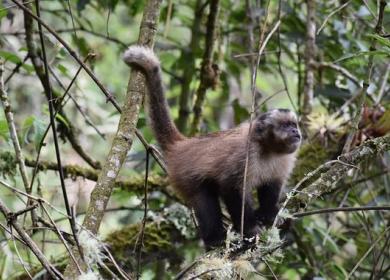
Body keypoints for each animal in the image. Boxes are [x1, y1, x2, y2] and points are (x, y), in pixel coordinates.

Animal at [123, 46, 300, 249]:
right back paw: (214, 239)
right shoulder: (245, 154)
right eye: (286, 126)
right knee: (204, 199)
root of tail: (185, 144)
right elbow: (232, 188)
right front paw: (249, 230)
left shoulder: (285, 159)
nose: (295, 131)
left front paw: (267, 216)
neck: (269, 149)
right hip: (184, 175)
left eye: (294, 124)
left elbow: (271, 186)